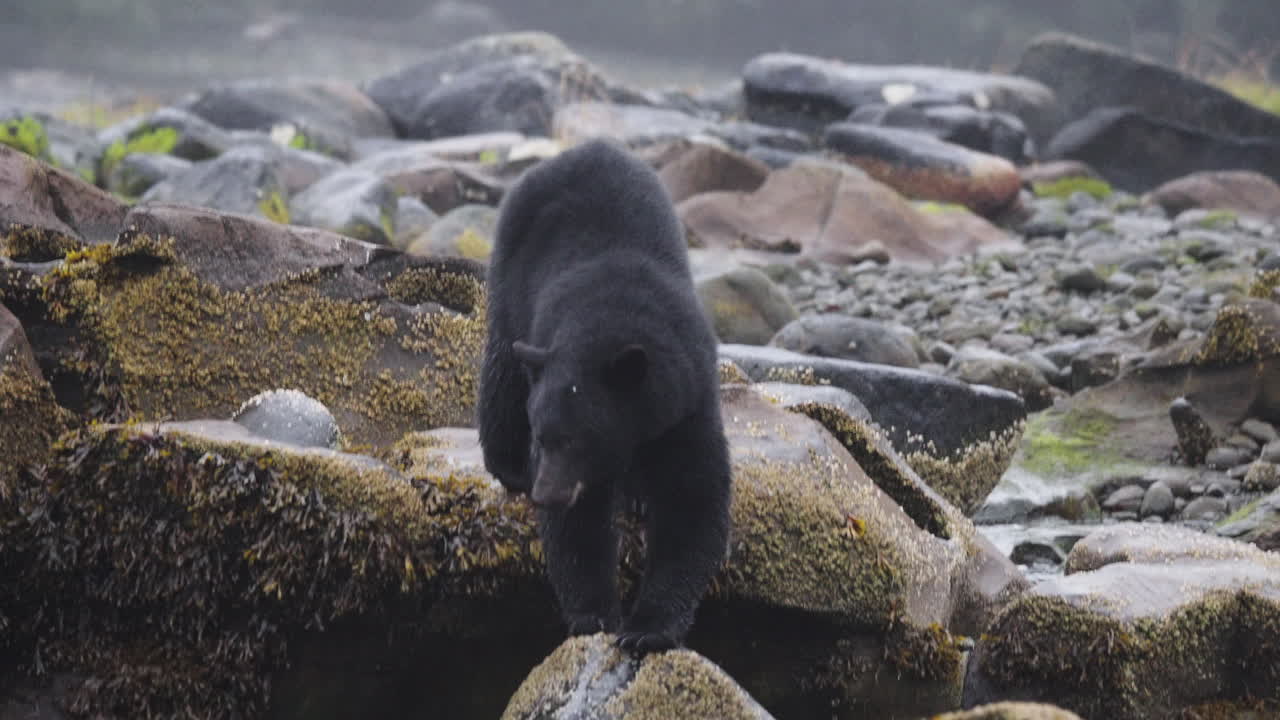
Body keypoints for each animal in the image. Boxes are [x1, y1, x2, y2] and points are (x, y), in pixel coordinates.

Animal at [477, 139, 732, 653]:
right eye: (541, 437)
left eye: (578, 439)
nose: (546, 494)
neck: (613, 317)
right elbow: (580, 527)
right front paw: (596, 615)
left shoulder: (690, 402)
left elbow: (693, 498)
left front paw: (648, 628)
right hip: (510, 282)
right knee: (504, 369)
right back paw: (506, 464)